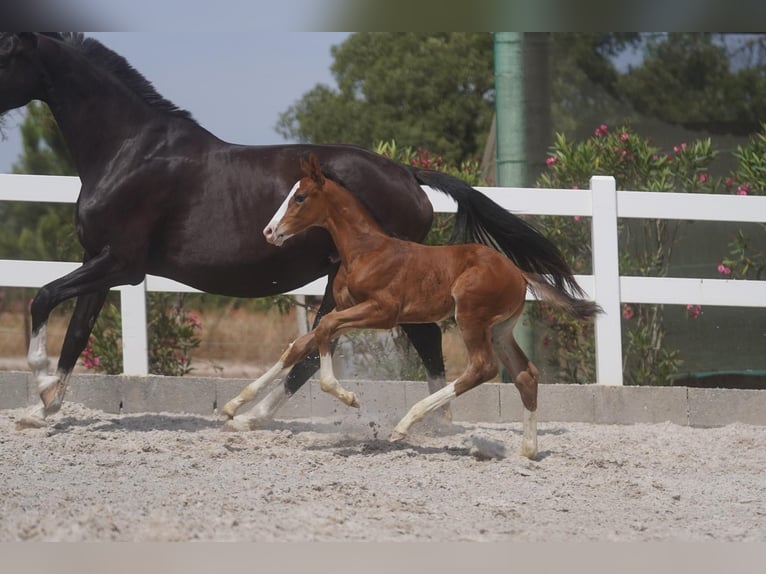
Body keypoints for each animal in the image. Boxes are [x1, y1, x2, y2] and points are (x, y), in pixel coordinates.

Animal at [0, 30, 584, 428]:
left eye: (6, 51)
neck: (130, 150)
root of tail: (408, 173)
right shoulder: (101, 262)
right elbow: (77, 331)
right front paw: (45, 407)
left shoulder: (121, 264)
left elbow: (42, 299)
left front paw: (38, 389)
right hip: (342, 284)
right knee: (319, 346)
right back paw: (256, 416)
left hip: (372, 284)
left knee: (410, 342)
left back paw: (418, 423)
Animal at [222, 155, 600, 462]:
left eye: (299, 198)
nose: (269, 231)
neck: (366, 250)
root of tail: (517, 271)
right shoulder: (353, 309)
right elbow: (303, 344)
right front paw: (234, 407)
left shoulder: (384, 311)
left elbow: (324, 330)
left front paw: (347, 396)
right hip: (500, 328)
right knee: (525, 374)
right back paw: (528, 450)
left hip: (471, 318)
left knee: (482, 368)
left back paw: (405, 424)